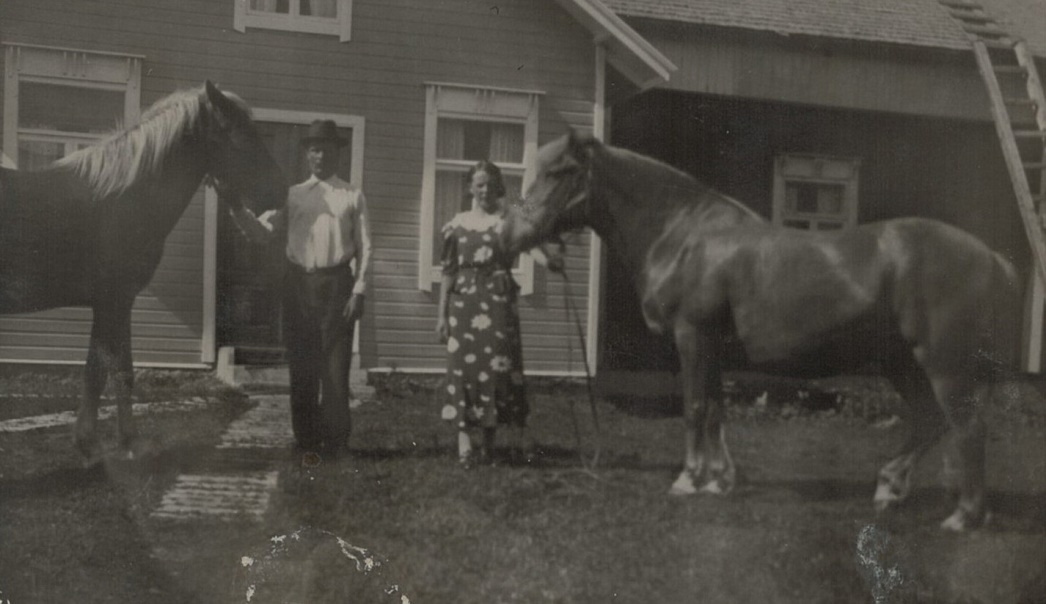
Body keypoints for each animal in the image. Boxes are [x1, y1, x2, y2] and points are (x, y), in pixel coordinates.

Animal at [1, 79, 286, 456]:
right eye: (239, 134)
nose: (281, 191)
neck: (118, 200)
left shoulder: (120, 303)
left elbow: (117, 371)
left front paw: (120, 442)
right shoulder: (112, 301)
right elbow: (102, 371)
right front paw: (97, 446)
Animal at [502, 130, 1025, 527]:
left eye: (559, 172)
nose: (516, 234)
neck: (685, 236)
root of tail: (991, 257)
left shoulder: (692, 336)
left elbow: (694, 408)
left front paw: (688, 479)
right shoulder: (712, 347)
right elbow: (715, 409)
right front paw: (719, 480)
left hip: (943, 364)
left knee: (966, 427)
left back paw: (964, 516)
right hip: (901, 363)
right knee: (929, 419)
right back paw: (889, 487)